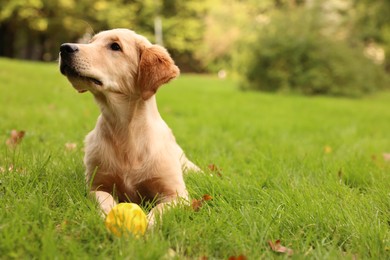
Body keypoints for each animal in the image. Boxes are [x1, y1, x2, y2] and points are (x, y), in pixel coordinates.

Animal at [60, 27, 201, 223]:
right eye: (90, 42)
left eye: (115, 46)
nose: (64, 48)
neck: (125, 129)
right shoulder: (96, 186)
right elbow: (106, 199)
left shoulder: (177, 194)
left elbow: (159, 210)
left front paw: (147, 224)